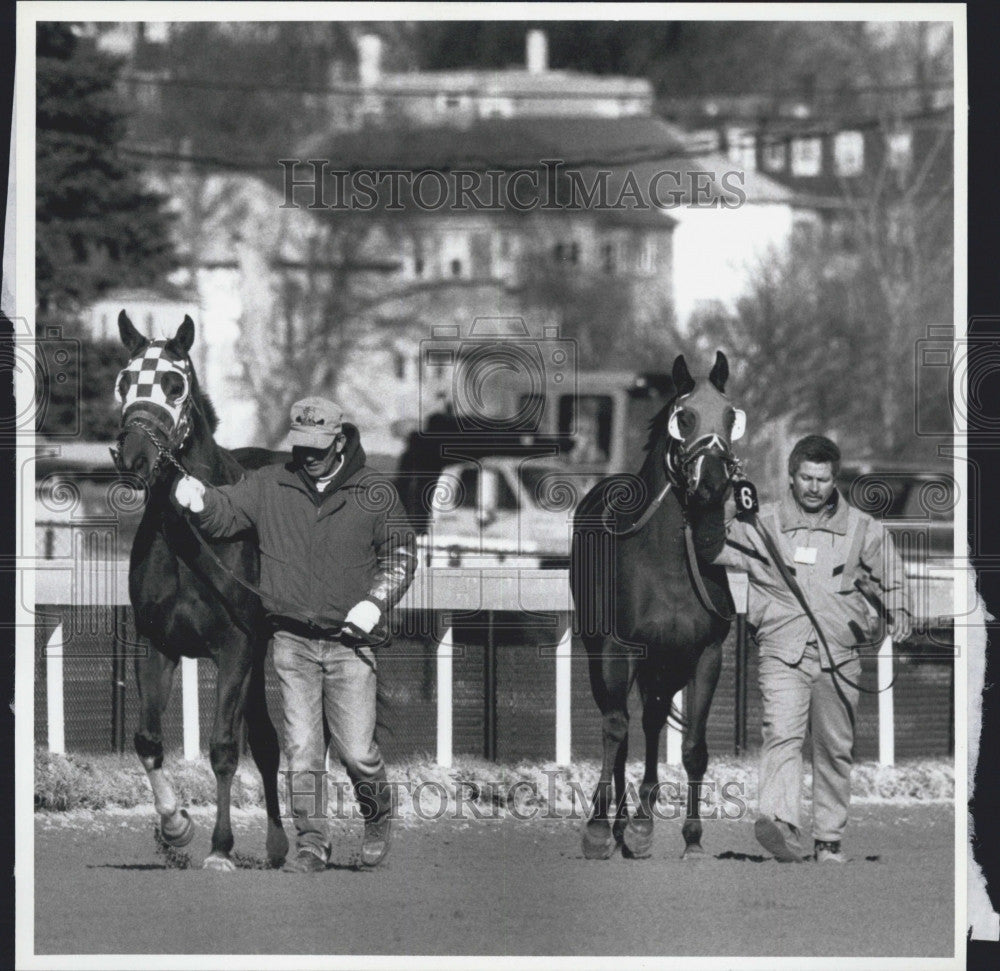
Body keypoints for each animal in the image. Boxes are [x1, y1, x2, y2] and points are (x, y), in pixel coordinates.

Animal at [116, 314, 292, 872]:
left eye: (174, 384)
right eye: (125, 381)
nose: (135, 456)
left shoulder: (235, 647)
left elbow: (222, 748)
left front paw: (220, 847)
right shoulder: (158, 644)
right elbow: (148, 740)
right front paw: (175, 828)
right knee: (265, 740)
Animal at [576, 350, 748, 860]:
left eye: (730, 416)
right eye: (684, 417)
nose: (712, 482)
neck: (667, 564)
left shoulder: (704, 655)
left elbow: (692, 746)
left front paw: (691, 837)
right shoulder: (619, 648)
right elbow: (616, 728)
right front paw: (598, 829)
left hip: (665, 663)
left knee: (651, 721)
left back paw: (640, 822)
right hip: (598, 652)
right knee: (621, 724)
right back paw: (618, 825)